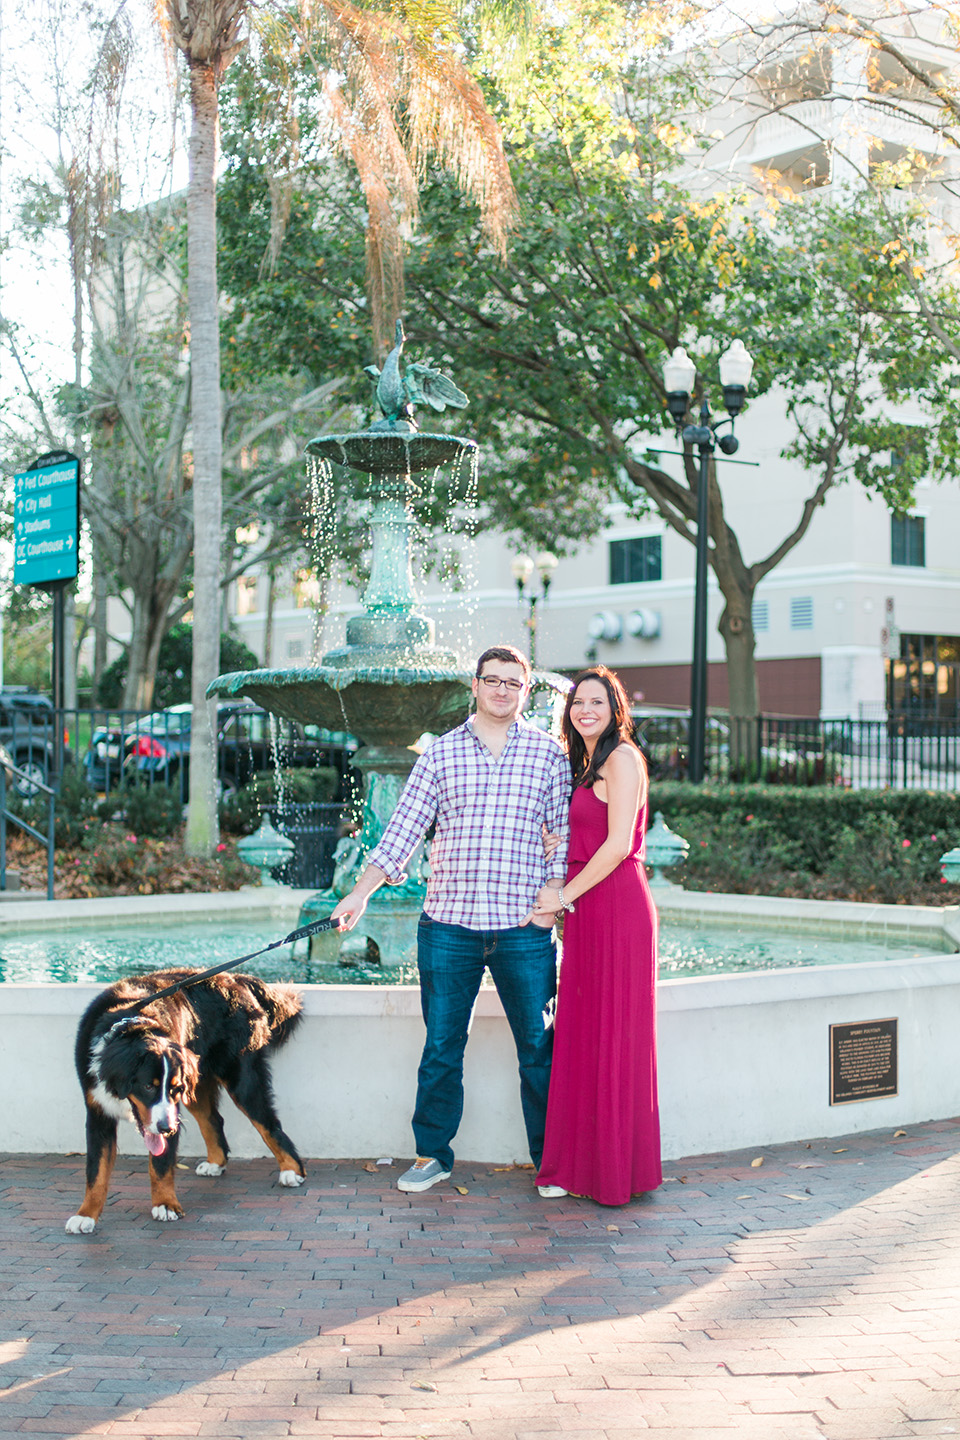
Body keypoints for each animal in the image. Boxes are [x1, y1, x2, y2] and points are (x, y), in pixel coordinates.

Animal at [66, 961, 306, 1232]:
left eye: (173, 1089)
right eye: (148, 1087)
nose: (166, 1128)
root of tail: (235, 977)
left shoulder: (173, 1110)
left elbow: (160, 1164)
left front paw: (165, 1204)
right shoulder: (98, 1114)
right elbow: (96, 1172)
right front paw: (86, 1215)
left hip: (241, 1080)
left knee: (269, 1125)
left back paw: (292, 1171)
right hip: (198, 1087)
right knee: (213, 1121)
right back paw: (216, 1163)